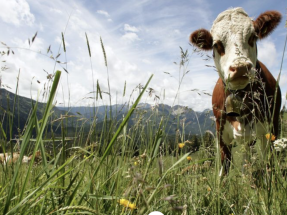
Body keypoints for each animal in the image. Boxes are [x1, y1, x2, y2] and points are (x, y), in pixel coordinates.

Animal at [190, 7, 282, 174]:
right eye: (216, 44)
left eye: (253, 37)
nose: (240, 68)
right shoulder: (220, 131)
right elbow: (225, 166)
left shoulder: (269, 128)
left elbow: (269, 162)